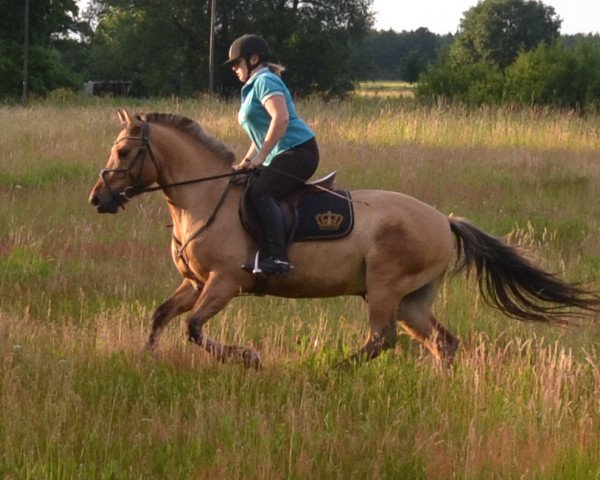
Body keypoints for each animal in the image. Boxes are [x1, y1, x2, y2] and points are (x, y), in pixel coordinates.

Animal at [89, 109, 600, 368]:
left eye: (124, 151)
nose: (98, 198)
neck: (204, 196)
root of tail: (444, 220)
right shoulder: (195, 283)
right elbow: (162, 316)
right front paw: (148, 361)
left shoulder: (224, 283)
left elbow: (195, 328)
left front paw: (250, 358)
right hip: (412, 298)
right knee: (441, 342)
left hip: (386, 288)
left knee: (382, 339)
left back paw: (333, 371)